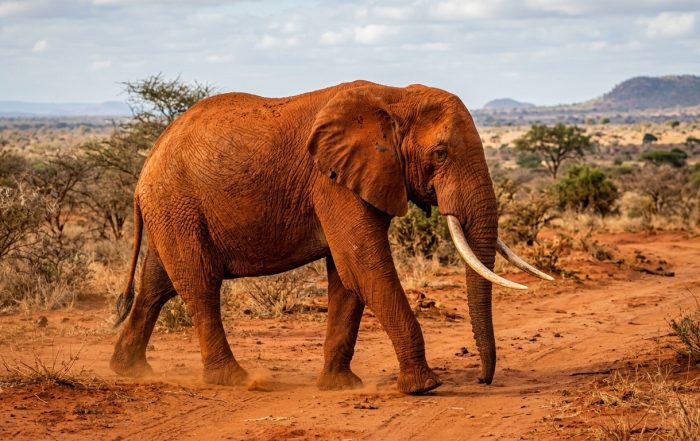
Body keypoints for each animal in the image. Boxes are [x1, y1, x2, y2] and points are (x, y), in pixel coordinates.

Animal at [110, 80, 552, 395]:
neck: (394, 97)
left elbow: (347, 276)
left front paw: (340, 387)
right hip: (177, 204)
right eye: (440, 154)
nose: (482, 379)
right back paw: (234, 380)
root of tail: (147, 164)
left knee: (157, 284)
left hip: (172, 210)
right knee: (200, 284)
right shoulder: (332, 182)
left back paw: (128, 370)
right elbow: (365, 266)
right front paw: (424, 387)